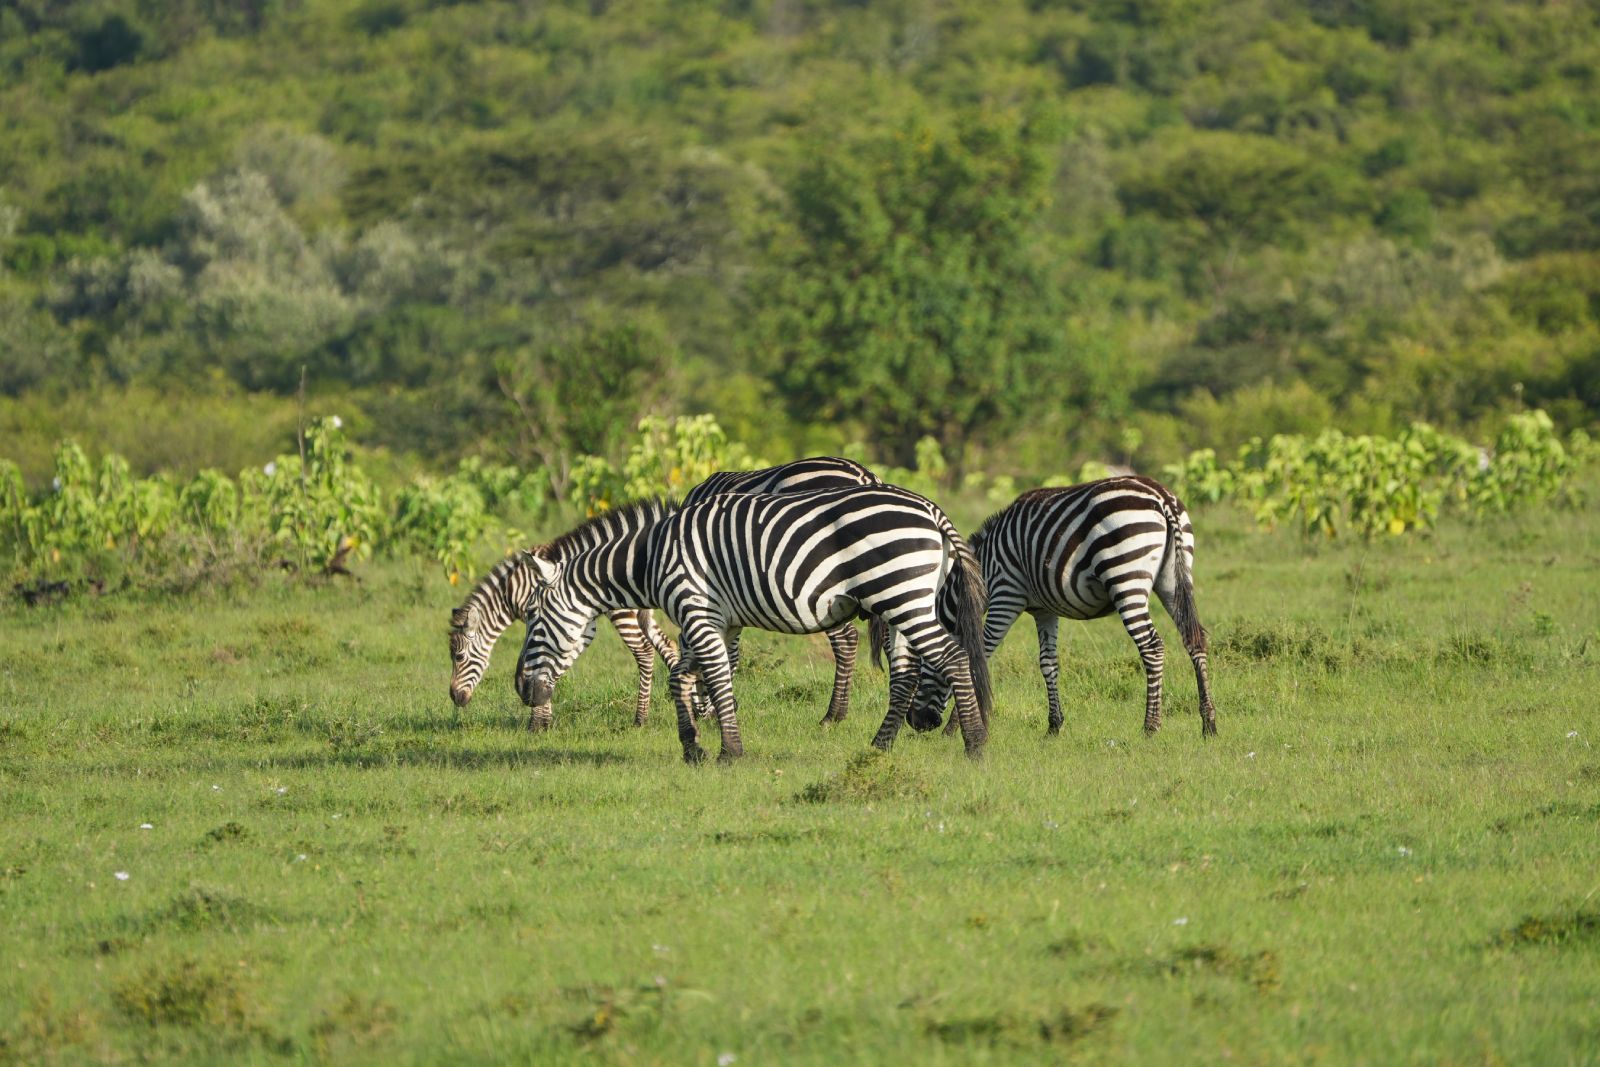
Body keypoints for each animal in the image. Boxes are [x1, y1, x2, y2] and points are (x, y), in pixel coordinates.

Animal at [448, 457, 884, 726]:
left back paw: (833, 714)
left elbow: (661, 650)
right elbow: (683, 648)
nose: (455, 699)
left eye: (459, 655)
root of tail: (866, 476)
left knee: (845, 639)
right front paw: (701, 704)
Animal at [513, 486, 992, 762]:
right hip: (903, 600)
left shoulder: (697, 611)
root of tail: (930, 509)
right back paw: (880, 746)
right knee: (909, 672)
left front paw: (730, 751)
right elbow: (683, 678)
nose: (521, 690)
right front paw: (692, 746)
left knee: (952, 657)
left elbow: (715, 678)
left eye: (534, 621)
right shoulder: (716, 620)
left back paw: (974, 744)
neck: (652, 558)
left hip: (899, 595)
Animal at [877, 475, 1217, 746]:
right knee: (1195, 640)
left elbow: (979, 655)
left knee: (1152, 647)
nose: (917, 723)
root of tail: (1161, 496)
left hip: (1126, 578)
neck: (983, 567)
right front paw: (1054, 726)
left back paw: (1151, 727)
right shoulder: (1044, 611)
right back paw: (1209, 723)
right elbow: (1048, 664)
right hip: (1173, 579)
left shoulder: (1006, 595)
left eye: (922, 664)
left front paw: (955, 728)